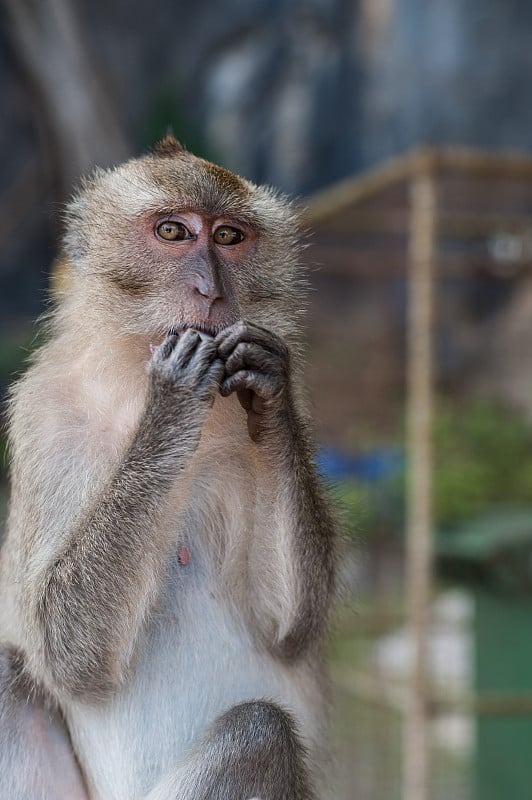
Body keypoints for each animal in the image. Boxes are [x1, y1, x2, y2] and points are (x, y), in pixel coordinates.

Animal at [0, 138, 336, 800]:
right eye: (173, 232)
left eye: (229, 236)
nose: (210, 290)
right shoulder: (42, 418)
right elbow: (66, 652)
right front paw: (174, 396)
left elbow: (288, 626)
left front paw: (269, 390)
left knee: (259, 730)